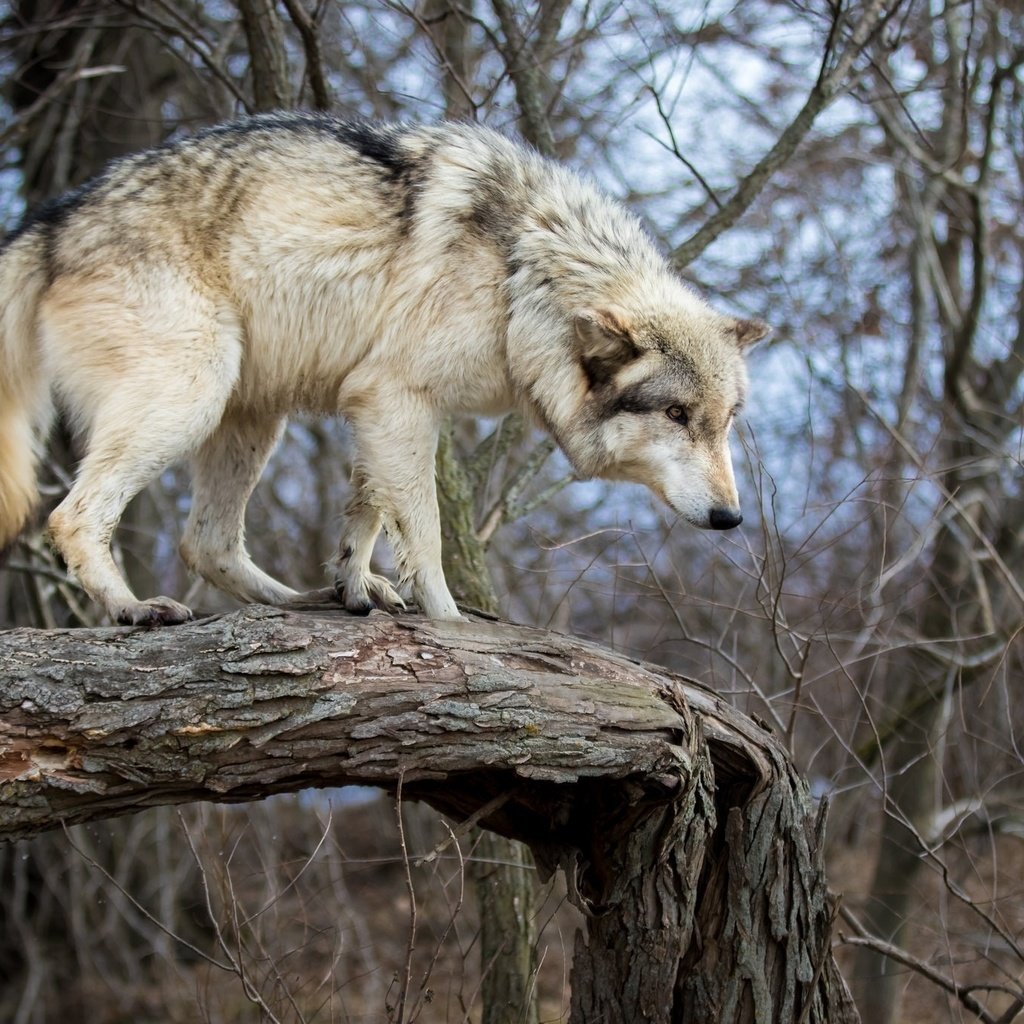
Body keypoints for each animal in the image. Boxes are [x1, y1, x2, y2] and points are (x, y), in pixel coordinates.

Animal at [0, 112, 770, 622]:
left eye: (724, 422)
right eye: (676, 414)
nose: (732, 517)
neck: (523, 272)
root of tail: (54, 219)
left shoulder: (378, 406)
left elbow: (366, 518)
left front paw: (354, 585)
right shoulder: (398, 400)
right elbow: (423, 534)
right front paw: (452, 625)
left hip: (251, 418)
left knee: (205, 544)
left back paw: (300, 599)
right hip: (191, 397)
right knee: (71, 516)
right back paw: (131, 610)